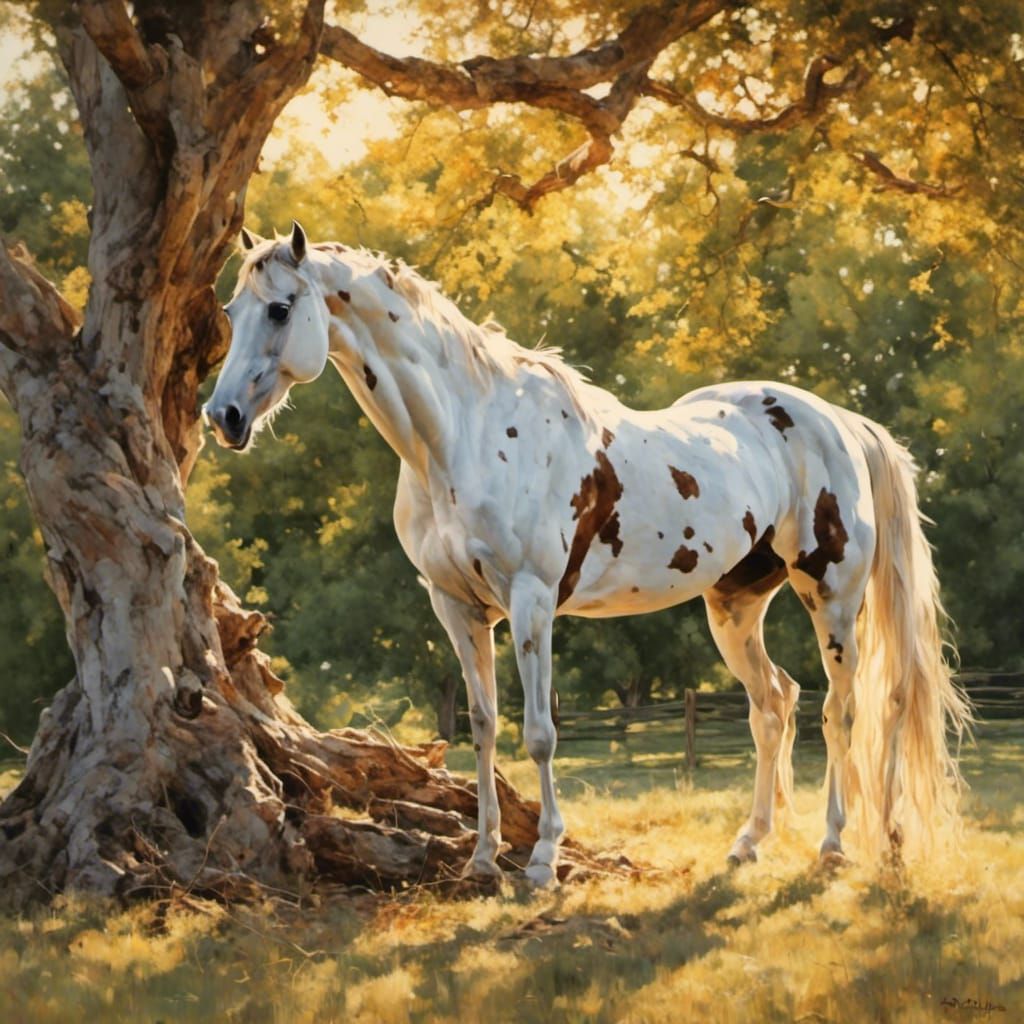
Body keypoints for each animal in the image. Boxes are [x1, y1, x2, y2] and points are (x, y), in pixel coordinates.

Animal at [206, 221, 971, 884]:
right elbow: (483, 728)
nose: (222, 418)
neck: (463, 433)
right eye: (232, 309)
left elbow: (540, 734)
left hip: (831, 598)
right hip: (734, 604)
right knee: (774, 704)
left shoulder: (531, 601)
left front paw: (543, 861)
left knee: (842, 712)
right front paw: (482, 859)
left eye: (280, 309)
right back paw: (750, 842)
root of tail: (839, 421)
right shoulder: (456, 607)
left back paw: (838, 845)